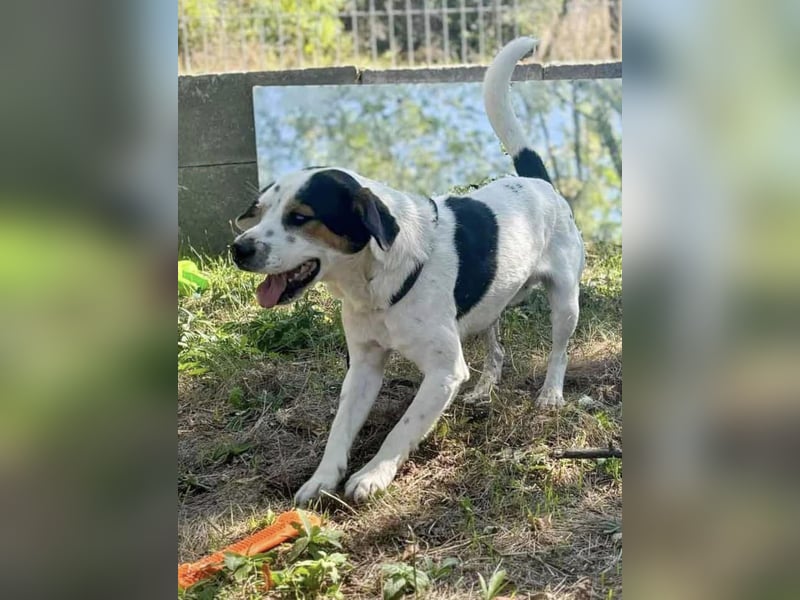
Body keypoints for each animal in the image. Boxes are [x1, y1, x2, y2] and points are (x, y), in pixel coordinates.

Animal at [230, 38, 580, 506]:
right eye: (263, 211)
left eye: (300, 217)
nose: (239, 249)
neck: (375, 284)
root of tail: (539, 183)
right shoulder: (362, 366)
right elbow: (339, 429)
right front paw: (322, 478)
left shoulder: (444, 372)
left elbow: (401, 430)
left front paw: (373, 475)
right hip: (488, 309)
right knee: (497, 351)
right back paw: (484, 390)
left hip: (565, 301)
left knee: (559, 351)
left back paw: (551, 395)